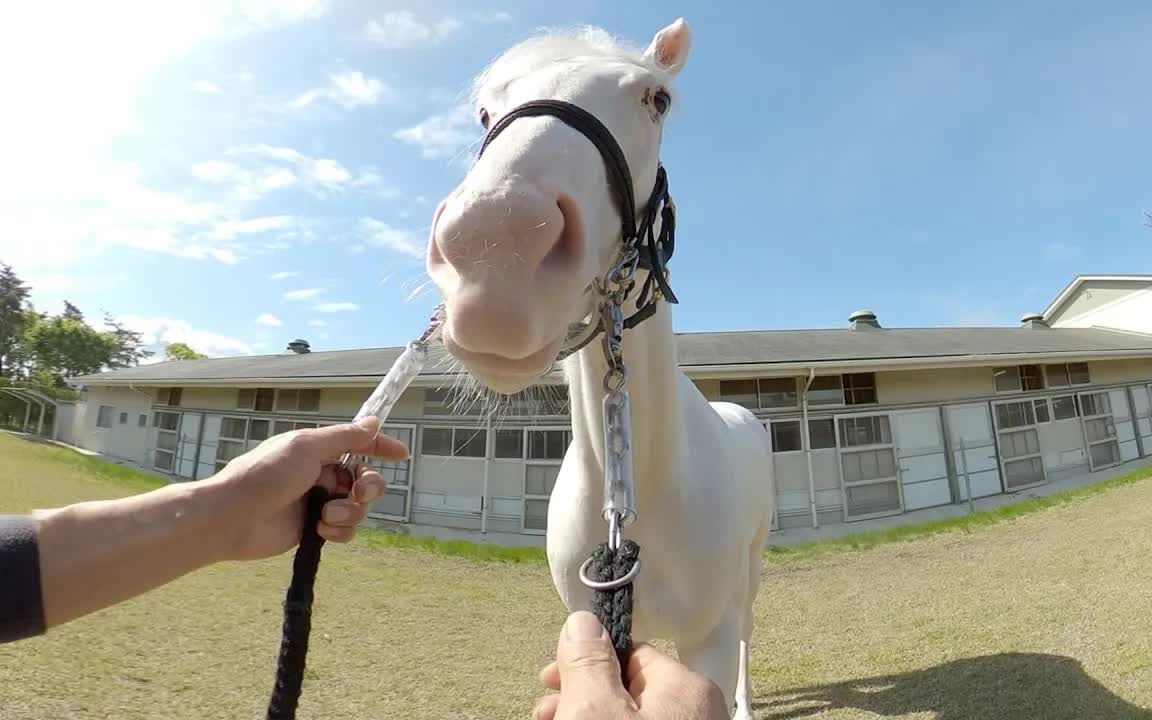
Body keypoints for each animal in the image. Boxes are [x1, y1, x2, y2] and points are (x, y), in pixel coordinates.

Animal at [426, 19, 774, 714]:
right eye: (485, 112)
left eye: (656, 99)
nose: (493, 248)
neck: (640, 491)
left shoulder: (711, 637)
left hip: (750, 569)